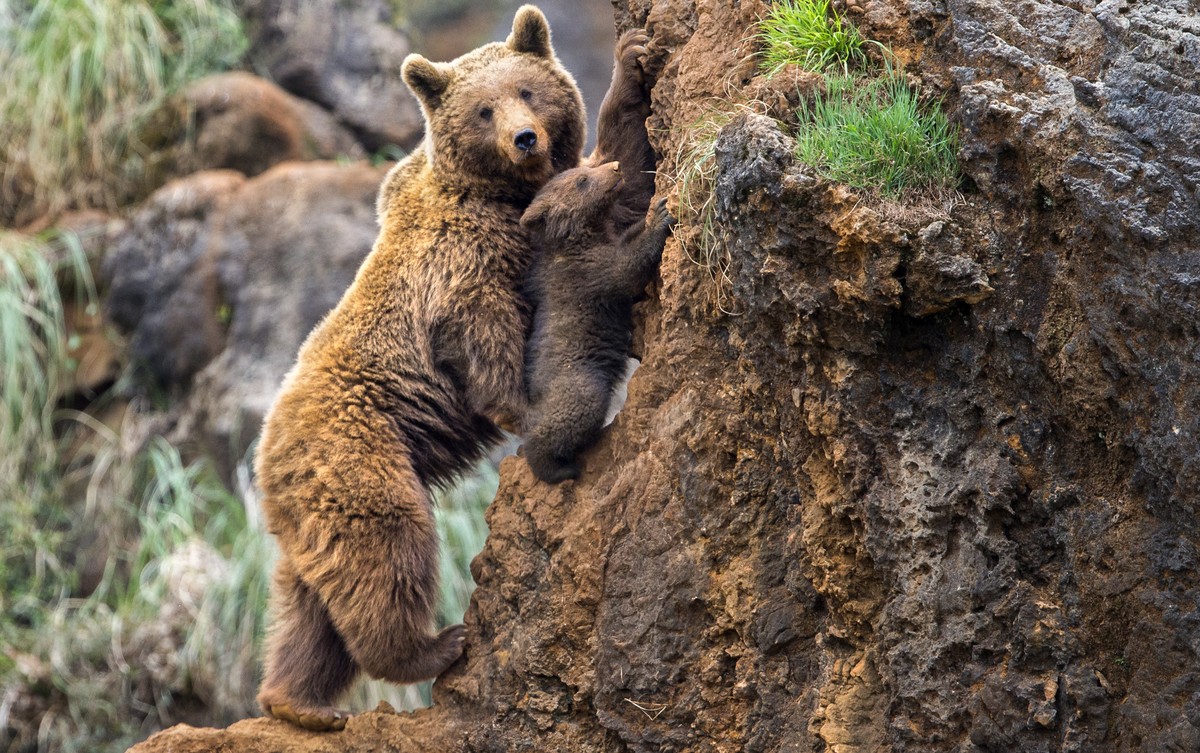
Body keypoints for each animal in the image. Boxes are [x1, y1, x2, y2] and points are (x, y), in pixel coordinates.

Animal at [254, 7, 655, 731]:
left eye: (527, 90)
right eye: (483, 108)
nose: (525, 138)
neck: (500, 194)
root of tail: (266, 458)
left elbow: (624, 174)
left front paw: (633, 64)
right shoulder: (462, 265)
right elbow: (486, 337)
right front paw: (528, 411)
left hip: (309, 518)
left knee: (311, 604)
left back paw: (298, 702)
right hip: (362, 455)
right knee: (388, 551)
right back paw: (438, 644)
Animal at [521, 164, 675, 483]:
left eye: (583, 169)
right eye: (581, 180)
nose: (615, 166)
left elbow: (628, 238)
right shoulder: (588, 272)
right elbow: (625, 268)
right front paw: (660, 214)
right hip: (578, 382)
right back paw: (559, 469)